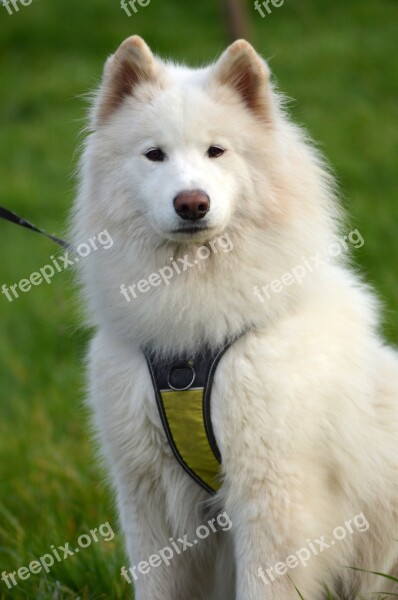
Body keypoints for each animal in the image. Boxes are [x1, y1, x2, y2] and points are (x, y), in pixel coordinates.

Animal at [71, 35, 398, 596]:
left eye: (216, 151)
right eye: (154, 154)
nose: (192, 203)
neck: (194, 339)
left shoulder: (271, 492)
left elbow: (264, 584)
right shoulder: (147, 492)